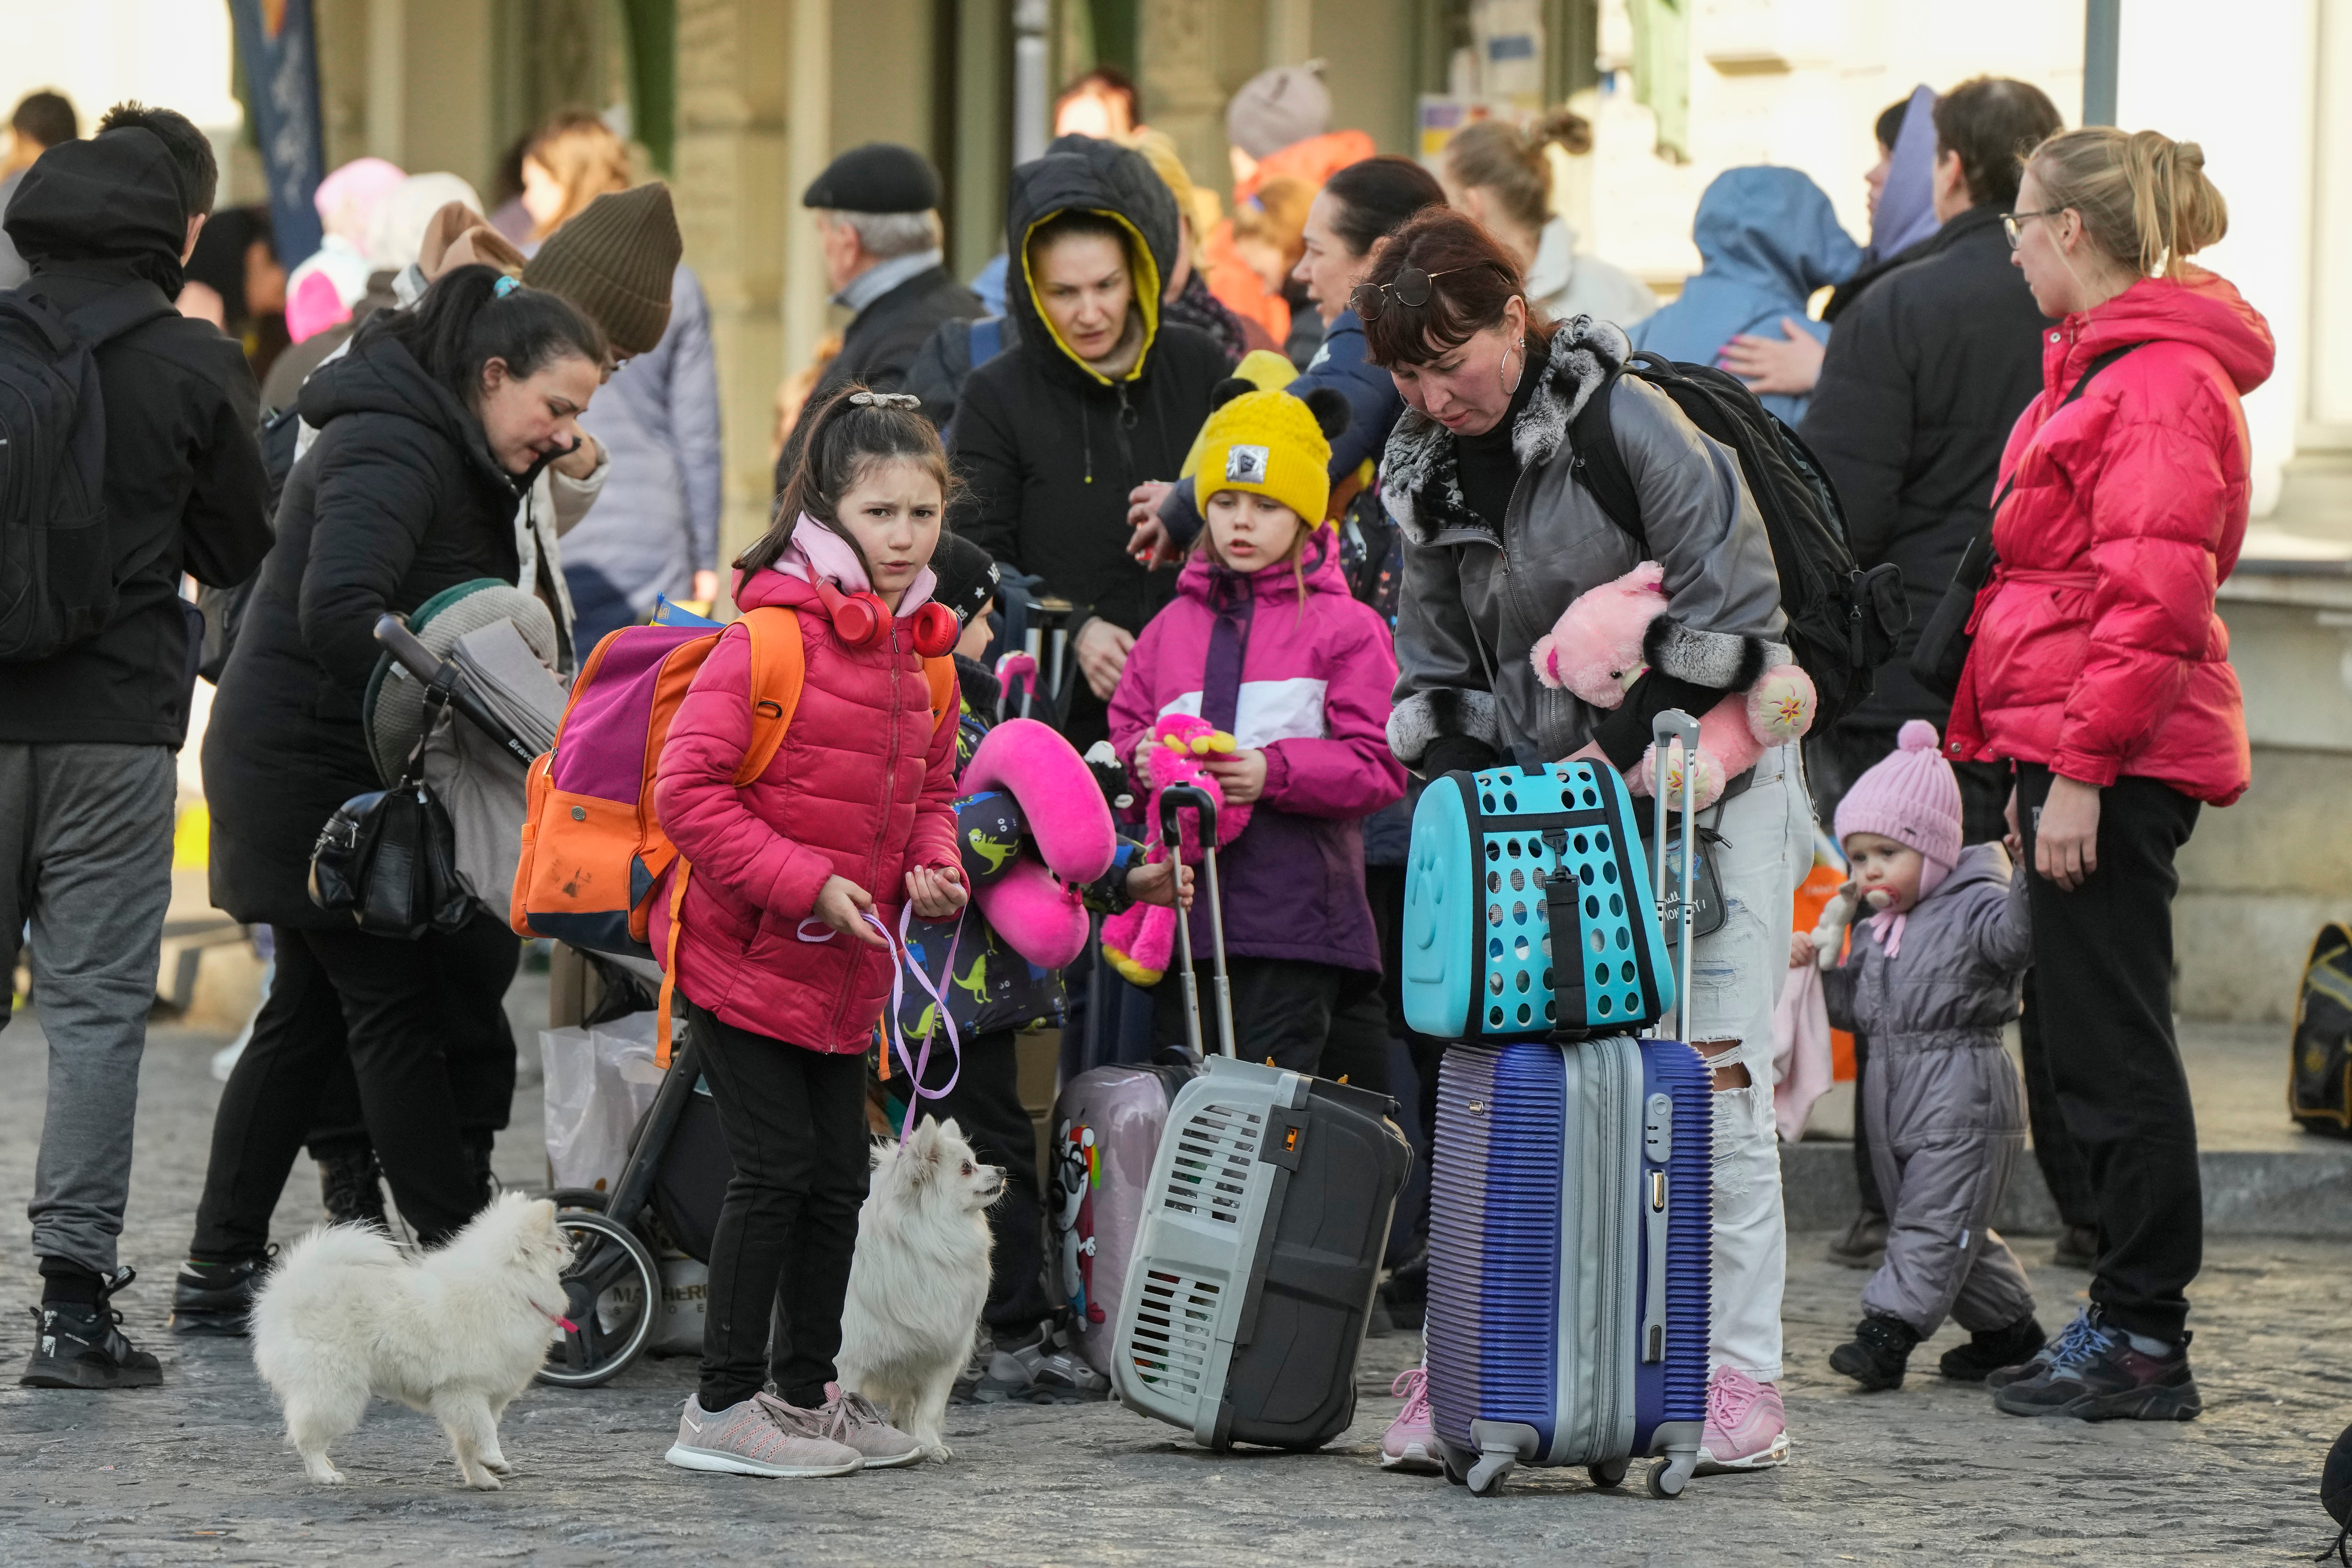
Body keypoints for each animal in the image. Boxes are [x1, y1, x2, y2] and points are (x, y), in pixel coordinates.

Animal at [252, 1194, 574, 1495]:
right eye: (558, 1247)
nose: (574, 1251)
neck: (509, 1287)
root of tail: (292, 1289)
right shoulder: (465, 1390)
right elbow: (484, 1431)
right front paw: (497, 1461)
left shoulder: (486, 1397)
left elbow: (470, 1444)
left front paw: (482, 1479)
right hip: (335, 1390)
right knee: (308, 1438)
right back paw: (323, 1475)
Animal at [837, 1114, 1002, 1457]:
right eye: (967, 1167)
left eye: (977, 1161)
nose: (1003, 1170)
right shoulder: (849, 1361)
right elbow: (842, 1403)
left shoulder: (939, 1356)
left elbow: (928, 1410)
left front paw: (930, 1445)